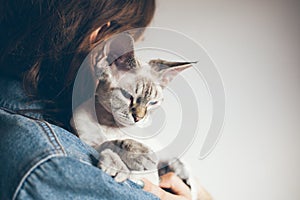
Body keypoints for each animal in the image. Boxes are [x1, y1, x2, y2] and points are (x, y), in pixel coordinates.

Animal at [72, 33, 196, 191]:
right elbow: (106, 143)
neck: (112, 126)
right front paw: (119, 163)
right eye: (127, 96)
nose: (138, 118)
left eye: (152, 103)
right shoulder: (82, 135)